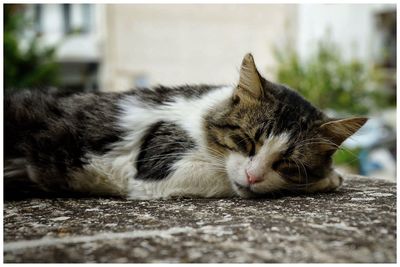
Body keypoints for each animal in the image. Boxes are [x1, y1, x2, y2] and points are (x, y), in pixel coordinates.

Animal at [3, 54, 368, 200]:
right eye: (246, 141)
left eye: (287, 163)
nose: (253, 177)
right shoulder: (161, 167)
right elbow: (225, 179)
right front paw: (329, 179)